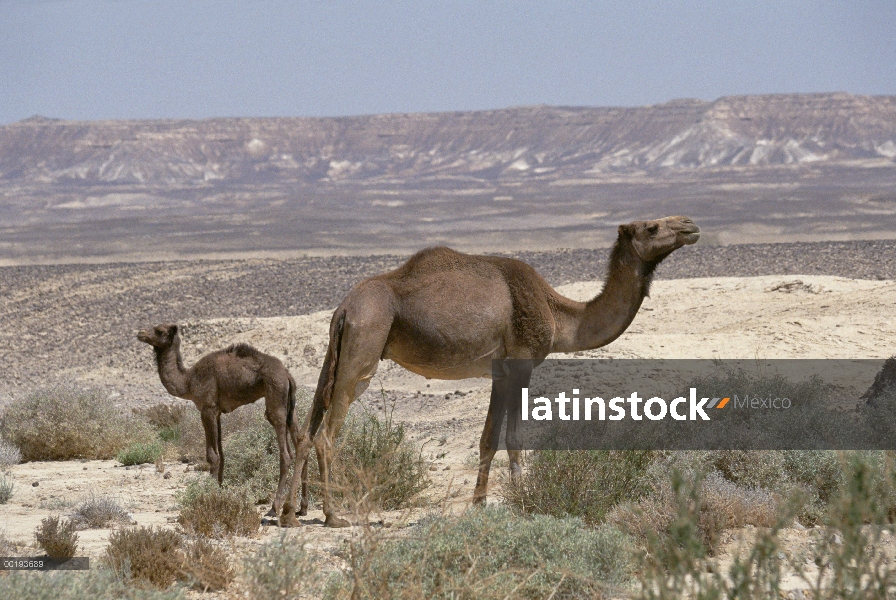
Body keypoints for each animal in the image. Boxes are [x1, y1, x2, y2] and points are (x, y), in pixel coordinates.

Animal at [136, 326, 304, 516]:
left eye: (159, 331)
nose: (140, 333)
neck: (189, 380)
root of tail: (287, 374)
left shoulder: (207, 409)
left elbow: (212, 455)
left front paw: (208, 495)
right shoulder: (217, 413)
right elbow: (221, 454)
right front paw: (221, 491)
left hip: (275, 392)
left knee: (286, 452)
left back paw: (274, 508)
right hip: (290, 403)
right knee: (300, 440)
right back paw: (299, 507)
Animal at [280, 214, 700, 524]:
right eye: (652, 227)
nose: (690, 224)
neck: (557, 312)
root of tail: (345, 307)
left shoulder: (499, 370)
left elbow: (487, 438)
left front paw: (479, 503)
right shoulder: (521, 362)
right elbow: (513, 437)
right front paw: (522, 500)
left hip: (337, 350)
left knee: (307, 429)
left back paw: (290, 513)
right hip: (364, 348)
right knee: (327, 435)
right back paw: (333, 515)